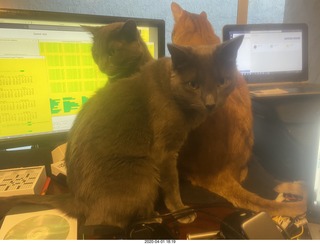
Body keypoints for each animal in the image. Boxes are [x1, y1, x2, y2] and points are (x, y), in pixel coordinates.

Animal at [0, 35, 242, 229]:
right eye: (193, 84)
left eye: (222, 82)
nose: (210, 103)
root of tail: (75, 199)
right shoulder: (164, 152)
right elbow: (172, 185)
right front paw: (182, 211)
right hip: (143, 171)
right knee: (106, 220)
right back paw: (152, 217)